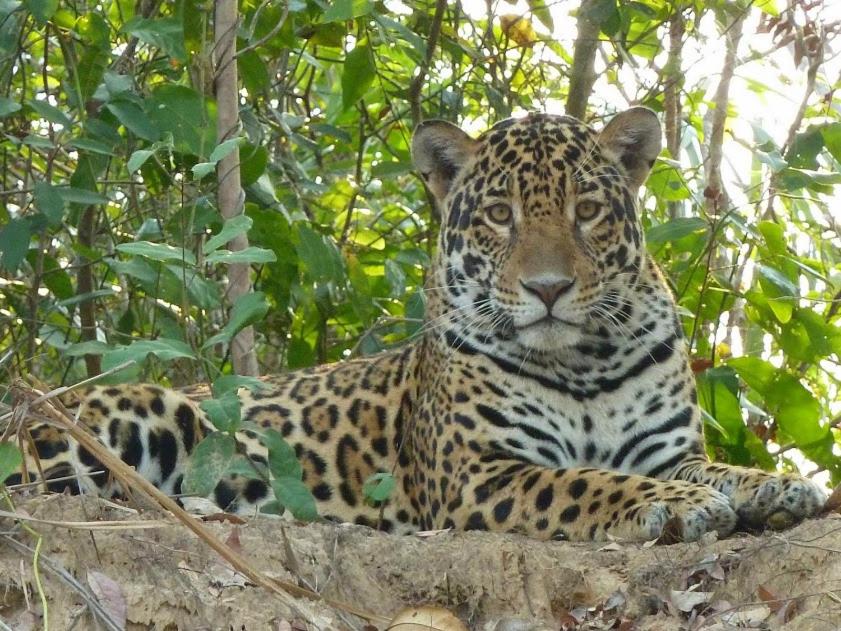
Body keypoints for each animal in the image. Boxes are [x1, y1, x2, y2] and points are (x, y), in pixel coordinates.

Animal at [4, 107, 827, 542]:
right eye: (499, 215)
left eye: (587, 211)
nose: (550, 288)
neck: (582, 360)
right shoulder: (480, 474)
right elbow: (589, 481)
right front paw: (675, 507)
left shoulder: (667, 450)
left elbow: (717, 469)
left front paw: (777, 486)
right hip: (137, 417)